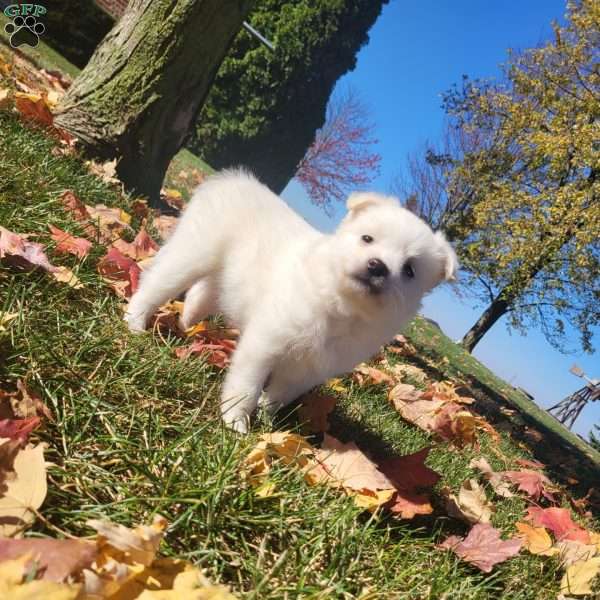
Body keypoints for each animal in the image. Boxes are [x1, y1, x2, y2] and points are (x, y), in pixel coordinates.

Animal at [125, 169, 454, 432]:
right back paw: (135, 323)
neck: (341, 306)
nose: (378, 266)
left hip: (223, 275)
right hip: (193, 252)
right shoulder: (266, 342)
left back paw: (187, 324)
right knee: (156, 283)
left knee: (201, 293)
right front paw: (236, 423)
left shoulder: (308, 370)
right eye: (367, 239)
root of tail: (231, 179)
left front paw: (268, 419)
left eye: (409, 270)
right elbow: (246, 386)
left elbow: (279, 394)